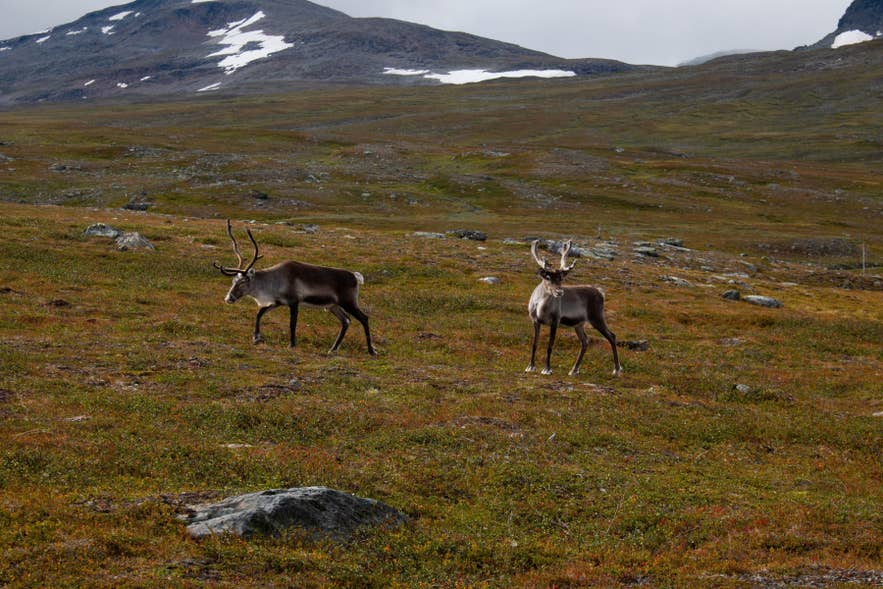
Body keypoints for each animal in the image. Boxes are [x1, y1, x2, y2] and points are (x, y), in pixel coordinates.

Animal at [213, 220, 376, 356]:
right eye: (233, 280)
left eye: (242, 282)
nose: (228, 298)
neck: (273, 281)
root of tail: (355, 276)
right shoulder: (277, 302)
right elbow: (260, 313)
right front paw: (256, 338)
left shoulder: (294, 302)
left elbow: (292, 324)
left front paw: (291, 344)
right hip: (333, 306)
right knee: (346, 321)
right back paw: (333, 348)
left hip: (348, 301)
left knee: (364, 318)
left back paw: (371, 350)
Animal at [526, 240, 622, 377]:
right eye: (548, 277)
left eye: (561, 278)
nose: (560, 292)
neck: (541, 308)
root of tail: (600, 292)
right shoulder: (535, 320)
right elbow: (535, 344)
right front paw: (530, 366)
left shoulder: (555, 321)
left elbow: (550, 345)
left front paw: (547, 369)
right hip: (579, 325)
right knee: (585, 341)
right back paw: (574, 369)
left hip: (597, 317)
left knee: (612, 336)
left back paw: (617, 369)